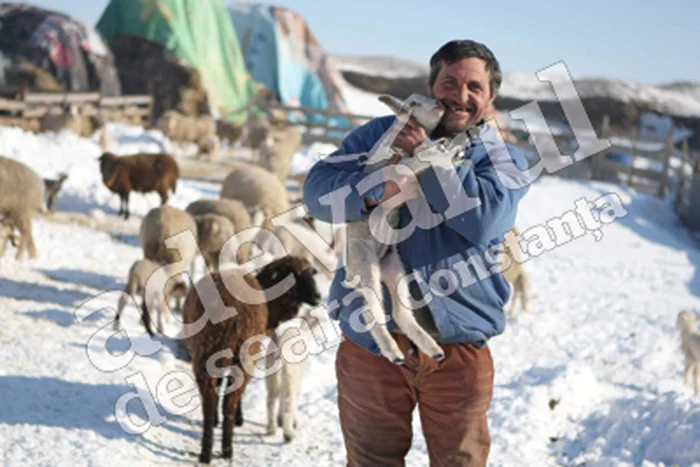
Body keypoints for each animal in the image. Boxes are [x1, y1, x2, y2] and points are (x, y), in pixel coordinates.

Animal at [182, 256, 322, 464]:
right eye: (295, 275)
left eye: (312, 273)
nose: (318, 297)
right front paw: (238, 420)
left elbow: (220, 384)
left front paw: (216, 421)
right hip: (242, 355)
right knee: (229, 402)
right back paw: (227, 448)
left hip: (204, 352)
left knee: (209, 400)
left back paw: (206, 451)